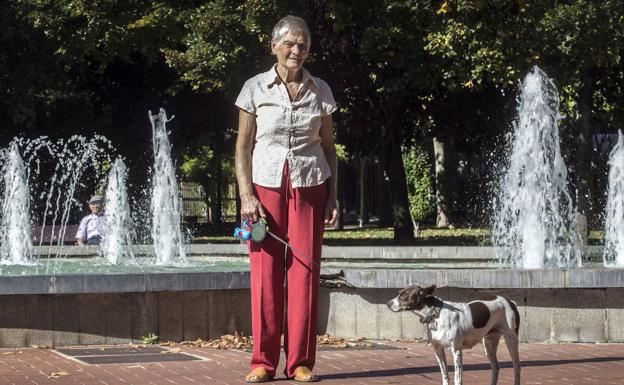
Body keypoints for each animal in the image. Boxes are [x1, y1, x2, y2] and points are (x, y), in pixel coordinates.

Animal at [388, 284, 520, 384]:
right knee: (496, 367)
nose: (388, 303)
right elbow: (445, 375)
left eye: (404, 295)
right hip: (489, 344)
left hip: (511, 339)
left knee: (517, 367)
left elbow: (457, 379)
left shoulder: (456, 351)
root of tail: (510, 302)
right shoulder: (438, 350)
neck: (436, 315)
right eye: (399, 293)